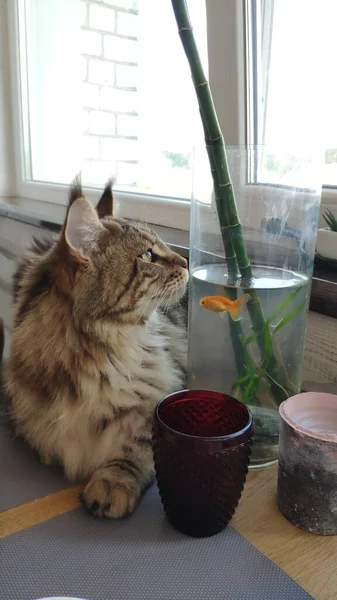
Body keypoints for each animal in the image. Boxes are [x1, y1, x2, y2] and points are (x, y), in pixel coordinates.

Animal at [3, 177, 188, 516]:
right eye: (148, 256)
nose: (185, 261)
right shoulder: (23, 415)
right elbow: (45, 440)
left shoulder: (162, 397)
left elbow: (136, 447)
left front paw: (112, 482)